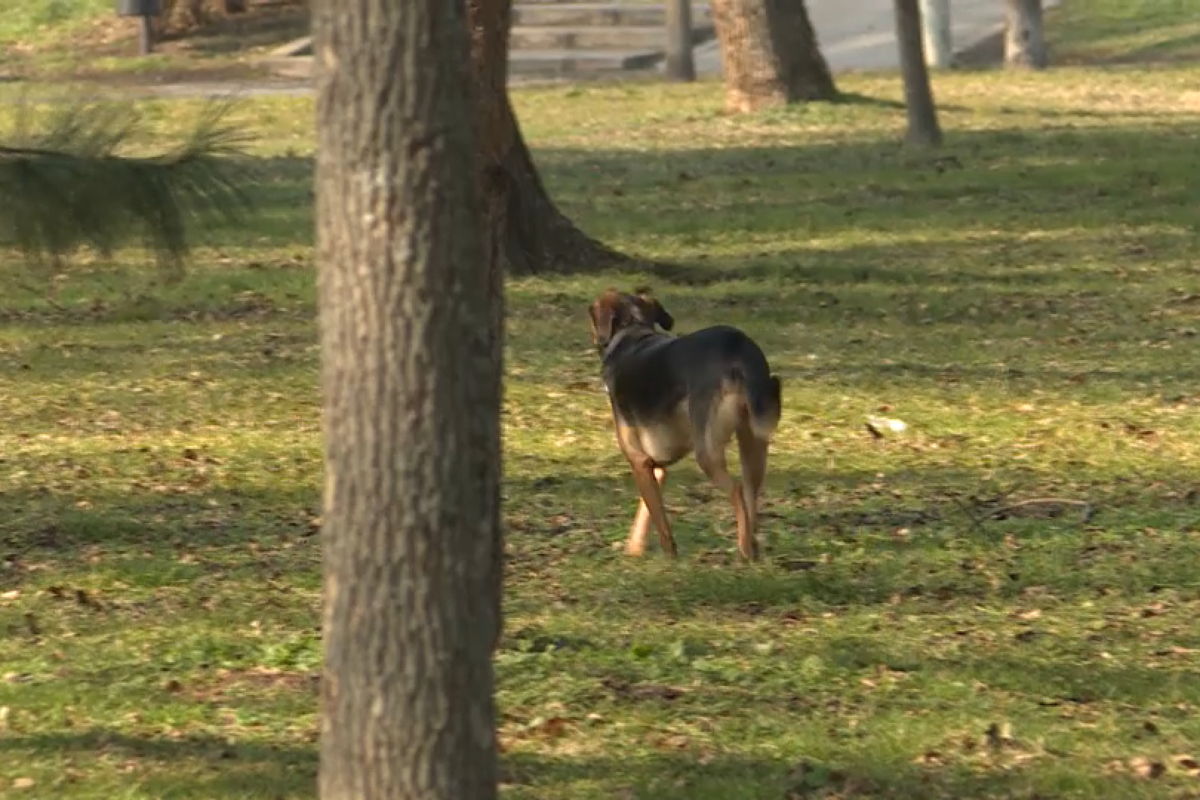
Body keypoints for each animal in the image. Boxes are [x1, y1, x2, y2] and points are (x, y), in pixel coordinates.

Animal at [588, 289, 777, 563]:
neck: (631, 332)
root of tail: (738, 346)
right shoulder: (655, 467)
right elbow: (645, 513)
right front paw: (634, 549)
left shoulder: (639, 461)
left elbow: (661, 525)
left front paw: (669, 562)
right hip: (753, 441)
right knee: (752, 495)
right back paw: (753, 551)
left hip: (707, 452)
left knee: (738, 493)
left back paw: (743, 552)